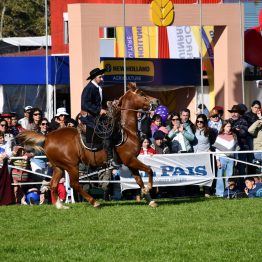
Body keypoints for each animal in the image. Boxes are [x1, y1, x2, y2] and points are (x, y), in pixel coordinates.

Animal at [17, 83, 160, 210]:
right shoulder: (130, 160)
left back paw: (60, 206)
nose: (157, 101)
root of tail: (47, 137)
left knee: (53, 184)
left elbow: (139, 180)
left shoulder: (131, 162)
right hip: (71, 166)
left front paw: (149, 199)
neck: (128, 131)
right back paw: (94, 202)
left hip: (59, 167)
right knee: (75, 184)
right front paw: (149, 189)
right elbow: (149, 170)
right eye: (142, 94)